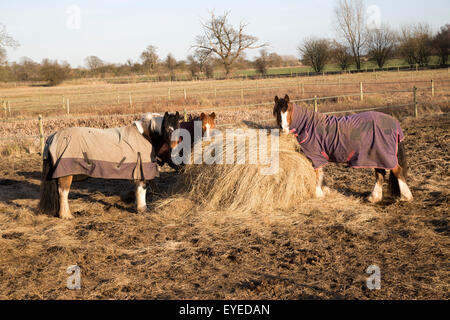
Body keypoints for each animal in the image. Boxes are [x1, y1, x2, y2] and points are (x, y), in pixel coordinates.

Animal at [38, 111, 182, 219]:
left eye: (178, 129)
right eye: (167, 130)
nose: (175, 149)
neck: (145, 135)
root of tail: (52, 137)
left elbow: (138, 188)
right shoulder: (141, 169)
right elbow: (142, 188)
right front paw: (143, 208)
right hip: (66, 174)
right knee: (63, 192)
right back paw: (66, 215)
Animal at [272, 94, 414, 202]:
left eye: (287, 110)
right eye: (276, 112)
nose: (283, 128)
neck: (309, 127)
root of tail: (393, 122)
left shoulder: (315, 156)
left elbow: (317, 174)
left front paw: (318, 194)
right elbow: (321, 174)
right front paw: (323, 191)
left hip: (382, 155)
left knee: (397, 171)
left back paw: (406, 197)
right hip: (376, 156)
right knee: (380, 174)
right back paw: (374, 197)